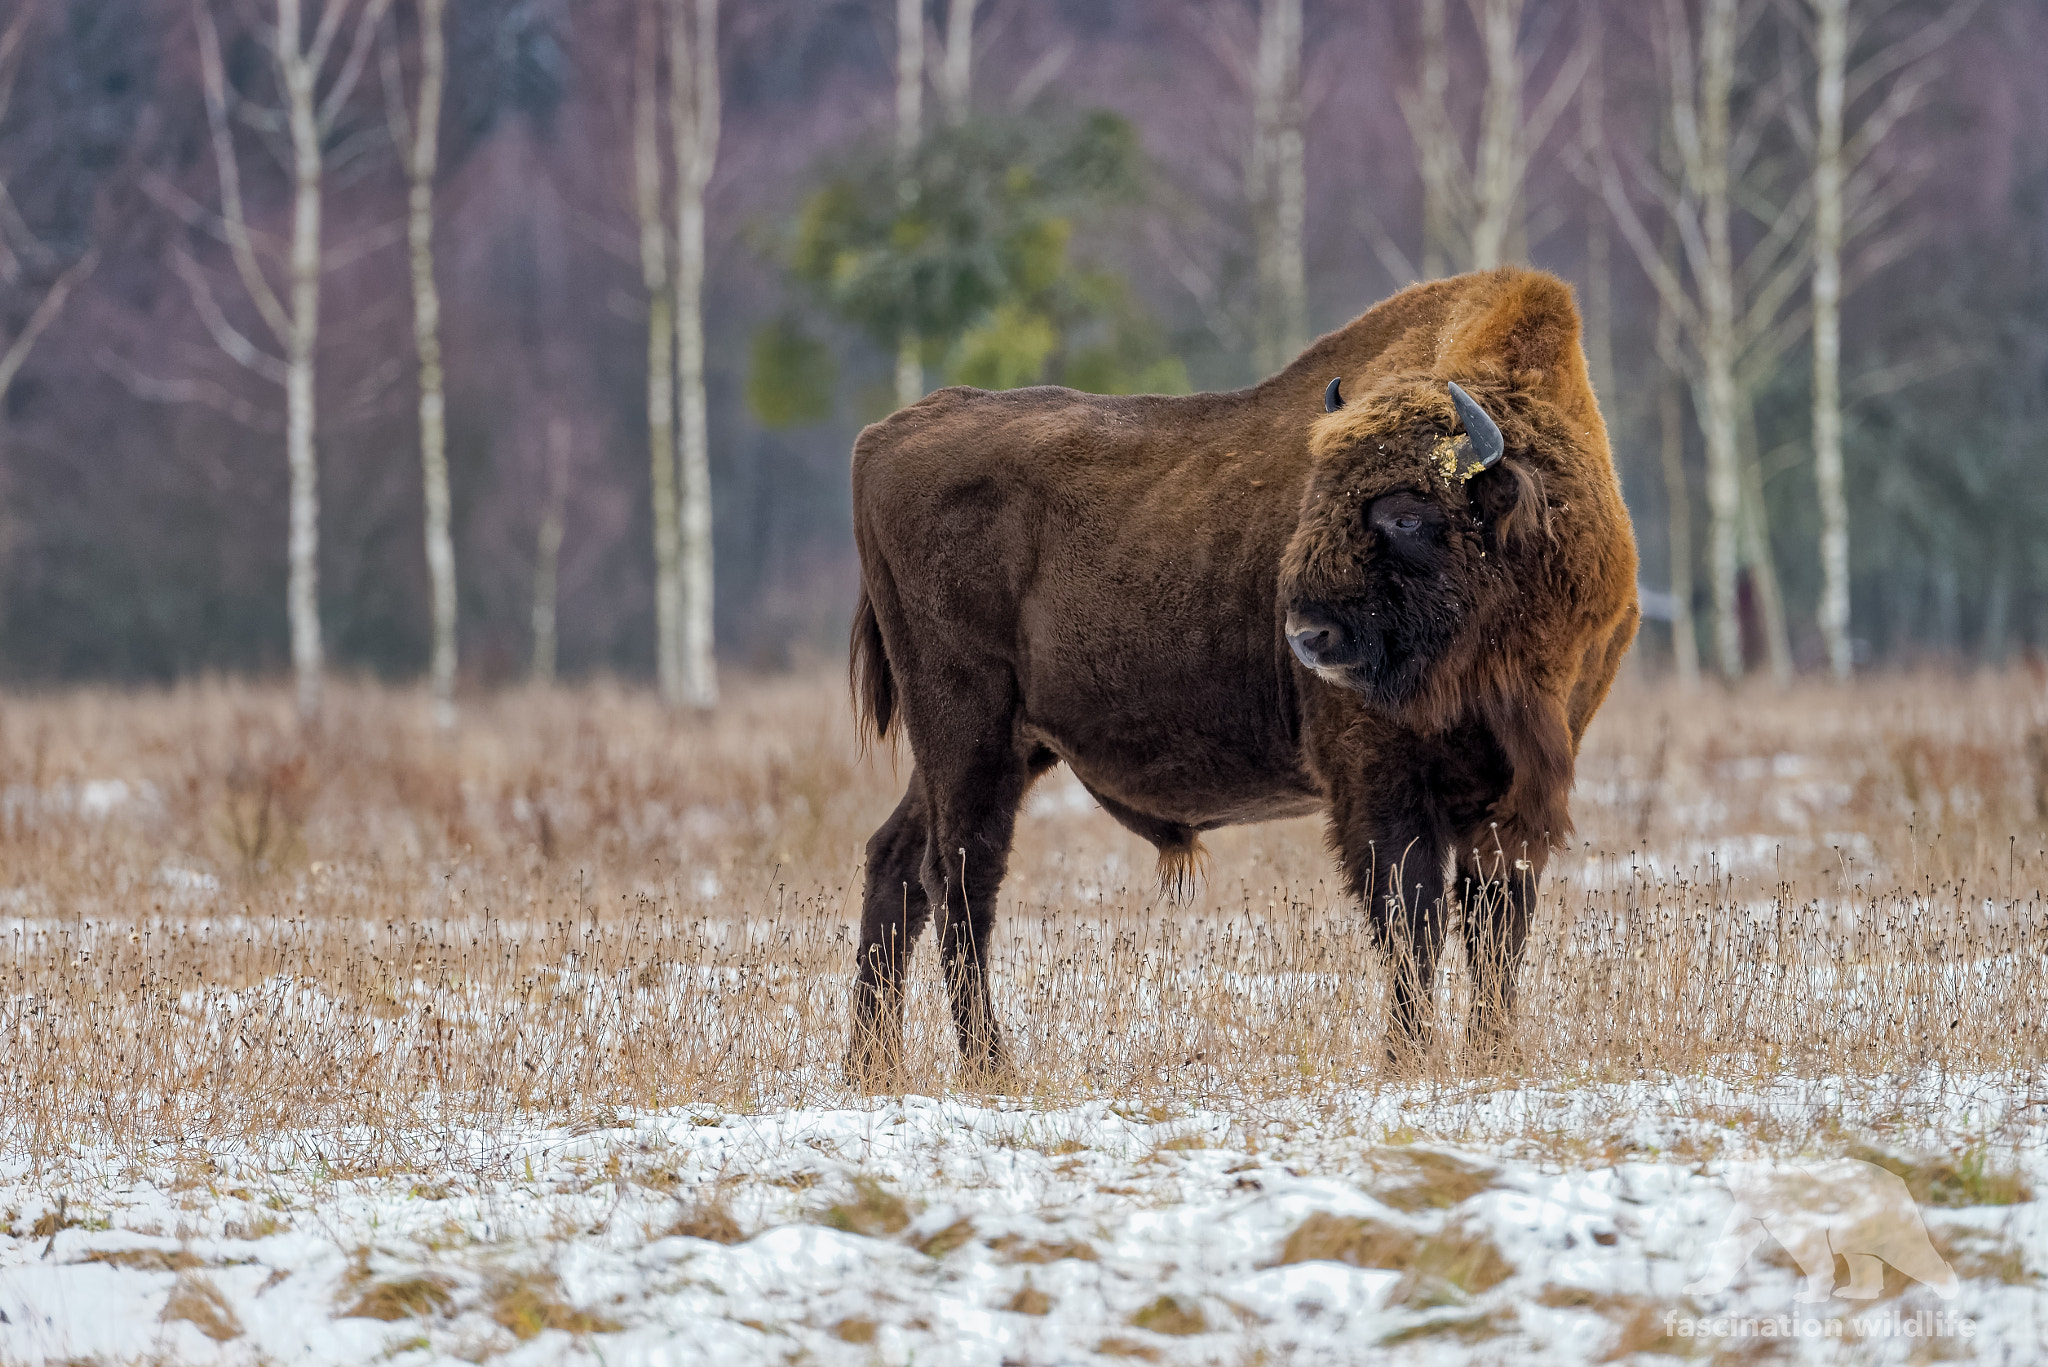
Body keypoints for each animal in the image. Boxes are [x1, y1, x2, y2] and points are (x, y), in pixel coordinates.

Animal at [844, 267, 1639, 1077]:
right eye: (1315, 500)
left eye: (1407, 513)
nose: (1309, 634)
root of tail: (885, 436)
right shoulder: (1382, 781)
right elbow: (1413, 920)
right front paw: (1408, 1056)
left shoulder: (1517, 790)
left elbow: (1496, 927)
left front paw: (1491, 1051)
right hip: (966, 732)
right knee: (960, 878)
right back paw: (988, 1063)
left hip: (997, 746)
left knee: (899, 864)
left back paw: (873, 1063)